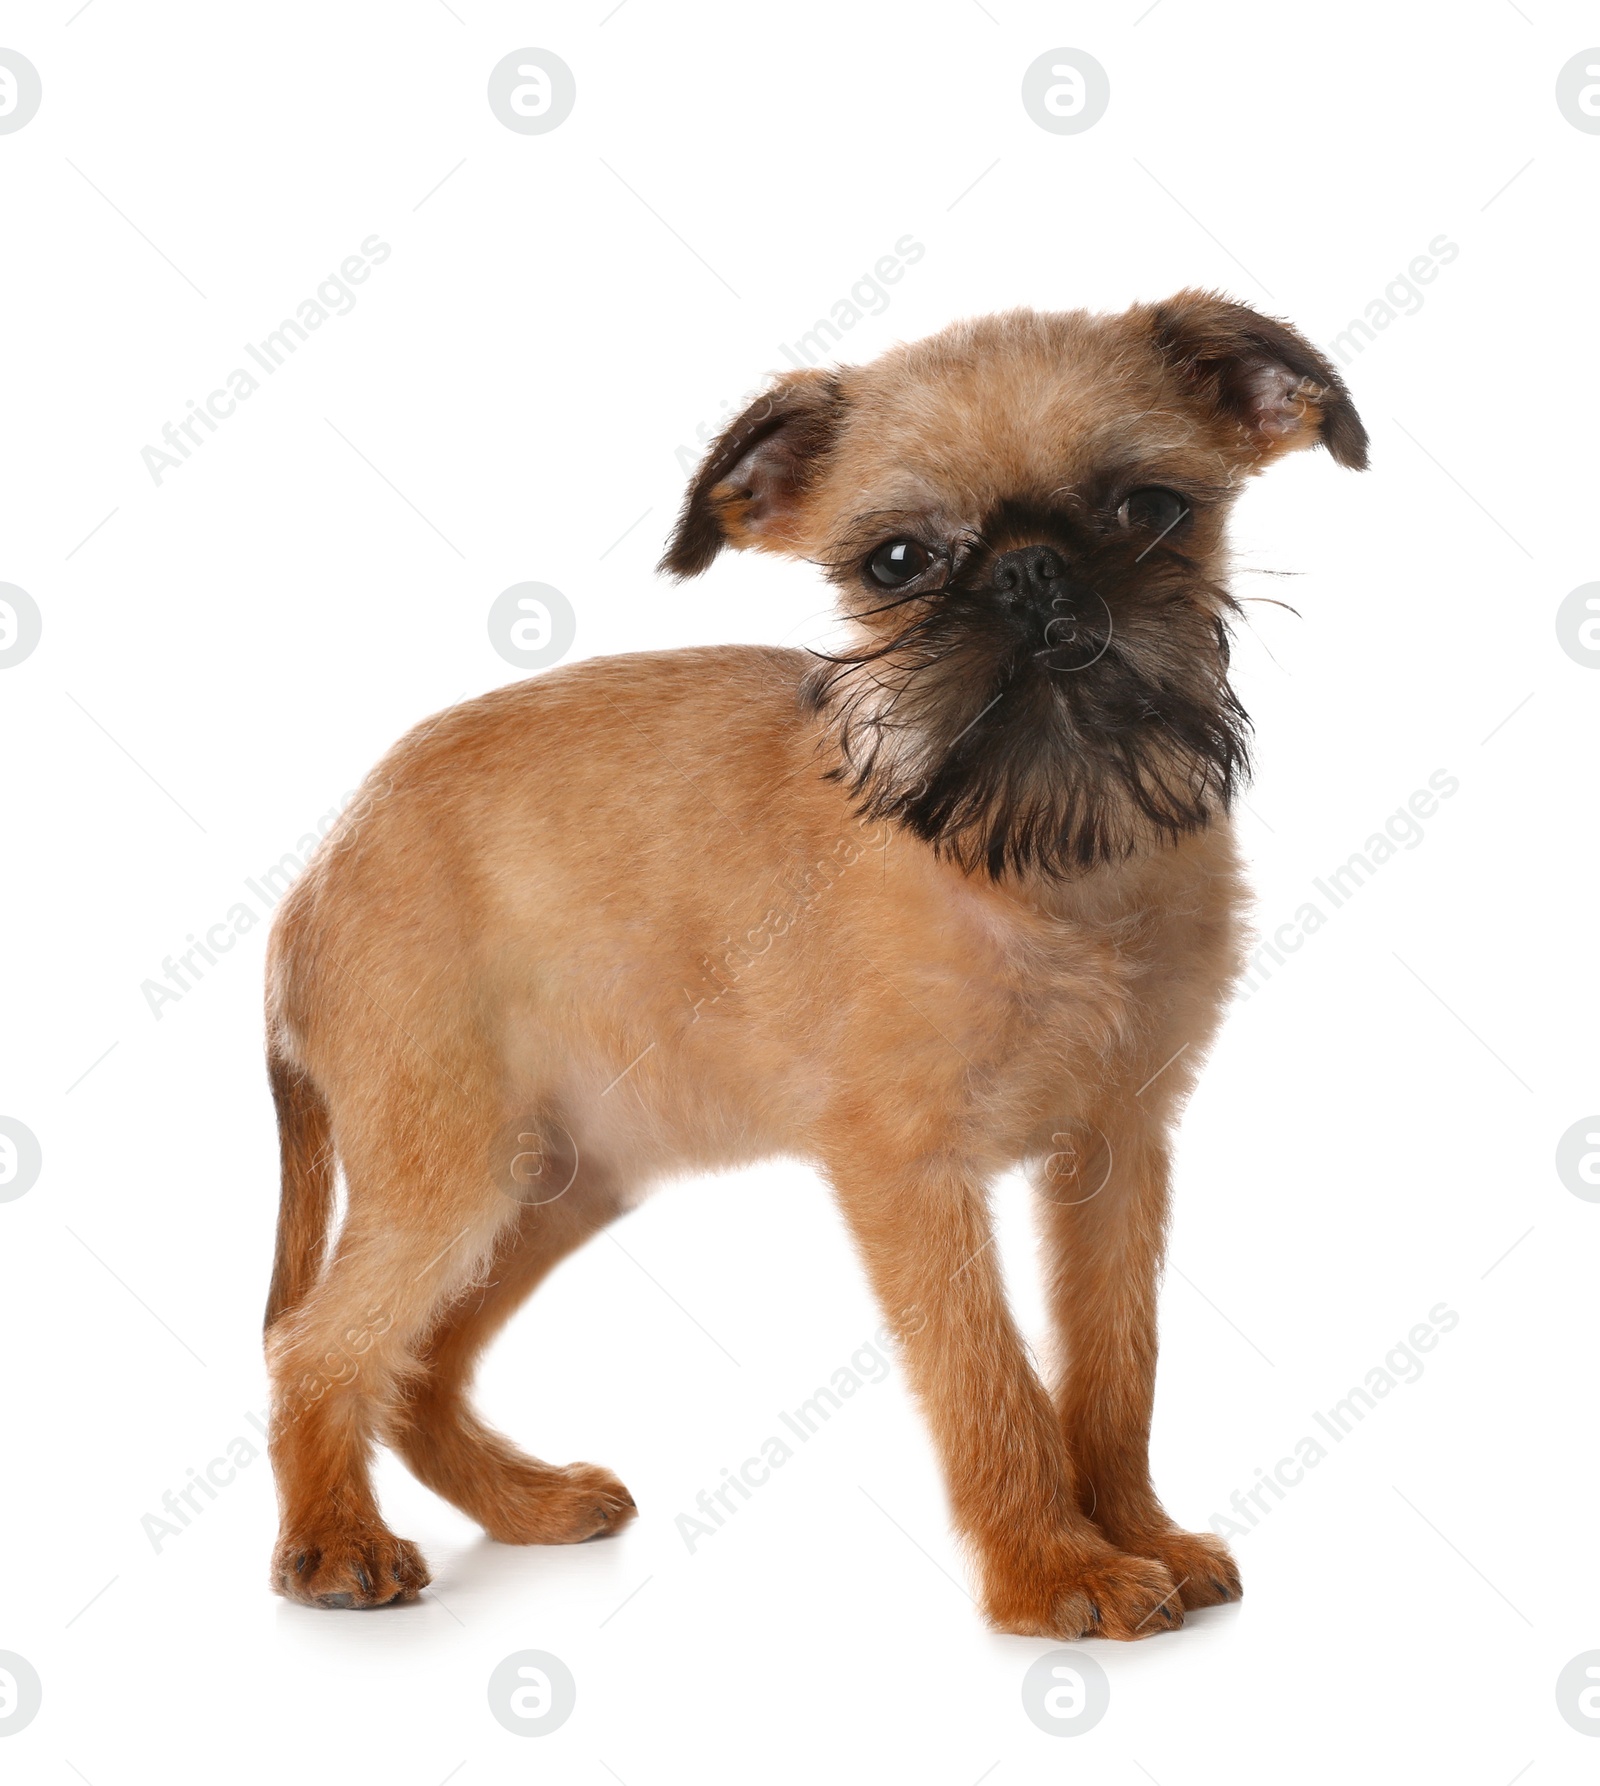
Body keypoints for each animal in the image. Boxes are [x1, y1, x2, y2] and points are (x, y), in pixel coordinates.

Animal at [258, 289, 1364, 1635]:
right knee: (320, 1346)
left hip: (558, 1178)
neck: (1046, 859)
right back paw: (334, 1543)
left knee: (417, 1360)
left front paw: (1136, 1531)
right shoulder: (909, 1175)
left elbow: (1114, 1368)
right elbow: (990, 1379)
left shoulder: (1115, 1155)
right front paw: (1059, 1570)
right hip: (449, 1172)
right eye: (896, 562)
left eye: (1151, 509)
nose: (1029, 569)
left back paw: (526, 1503)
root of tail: (312, 883)